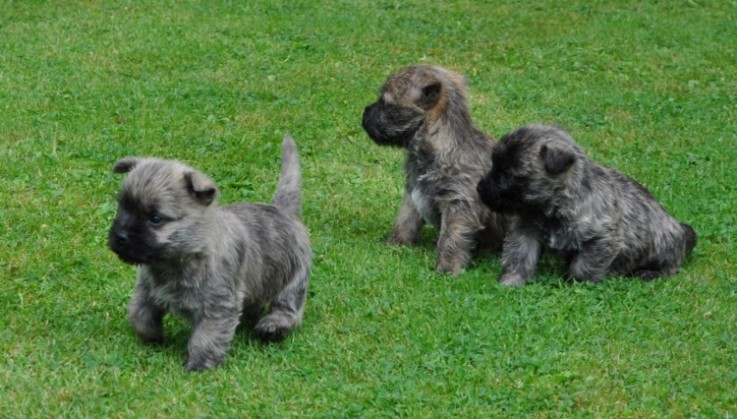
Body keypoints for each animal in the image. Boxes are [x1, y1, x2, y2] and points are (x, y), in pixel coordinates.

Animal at [108, 136, 310, 372]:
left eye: (155, 218)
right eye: (122, 207)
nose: (120, 235)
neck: (184, 257)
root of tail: (284, 211)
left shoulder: (217, 307)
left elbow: (206, 337)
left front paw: (199, 364)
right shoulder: (146, 292)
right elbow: (139, 315)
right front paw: (152, 337)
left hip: (295, 279)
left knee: (289, 308)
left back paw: (273, 326)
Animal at [360, 65, 506, 276]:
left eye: (385, 102)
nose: (365, 112)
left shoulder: (458, 203)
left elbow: (450, 238)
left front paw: (447, 268)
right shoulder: (412, 194)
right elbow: (405, 220)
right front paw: (395, 243)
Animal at [478, 124, 696, 288]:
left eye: (509, 174)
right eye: (494, 165)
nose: (479, 188)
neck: (552, 207)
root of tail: (680, 229)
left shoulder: (601, 240)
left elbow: (583, 267)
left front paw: (576, 286)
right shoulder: (525, 232)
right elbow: (519, 258)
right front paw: (511, 282)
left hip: (663, 244)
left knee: (670, 266)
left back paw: (648, 273)